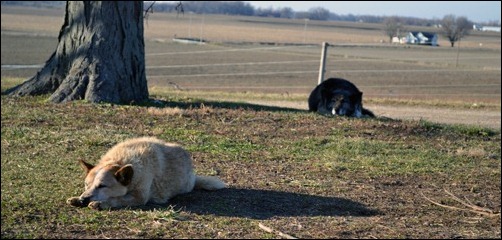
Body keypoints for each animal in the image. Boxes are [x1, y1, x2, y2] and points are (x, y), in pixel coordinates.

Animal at [66, 137, 226, 210]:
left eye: (102, 186)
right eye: (86, 185)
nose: (83, 200)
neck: (121, 161)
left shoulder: (139, 197)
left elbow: (118, 199)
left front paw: (101, 203)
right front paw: (76, 198)